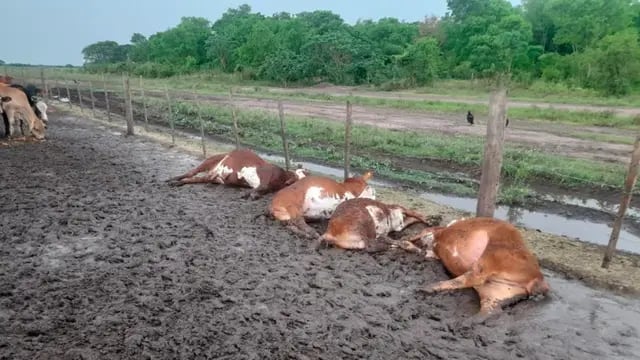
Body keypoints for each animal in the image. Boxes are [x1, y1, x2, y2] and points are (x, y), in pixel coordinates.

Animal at [166, 147, 308, 200]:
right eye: (298, 178)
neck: (281, 177)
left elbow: (262, 190)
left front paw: (253, 194)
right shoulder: (265, 175)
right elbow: (262, 186)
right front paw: (248, 194)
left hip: (212, 177)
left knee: (194, 179)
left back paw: (177, 183)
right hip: (208, 161)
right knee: (190, 173)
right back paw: (172, 179)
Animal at [314, 197, 442, 253]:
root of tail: (330, 232)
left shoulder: (398, 223)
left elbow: (411, 218)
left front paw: (434, 219)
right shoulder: (396, 208)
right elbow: (414, 213)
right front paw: (433, 220)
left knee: (376, 244)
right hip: (365, 223)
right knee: (373, 245)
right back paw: (415, 249)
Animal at [402, 217, 548, 318]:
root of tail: (539, 279)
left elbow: (426, 233)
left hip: (493, 253)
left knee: (473, 277)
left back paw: (423, 288)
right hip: (494, 292)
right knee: (490, 310)